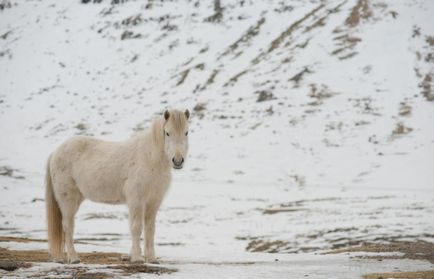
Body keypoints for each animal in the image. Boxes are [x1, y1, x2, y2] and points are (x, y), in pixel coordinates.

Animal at [45, 109, 191, 264]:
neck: (149, 159)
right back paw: (74, 258)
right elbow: (136, 227)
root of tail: (55, 152)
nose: (178, 161)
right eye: (167, 133)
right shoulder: (136, 200)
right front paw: (137, 258)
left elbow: (150, 230)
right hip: (68, 200)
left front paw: (151, 258)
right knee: (68, 226)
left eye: (186, 132)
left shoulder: (153, 202)